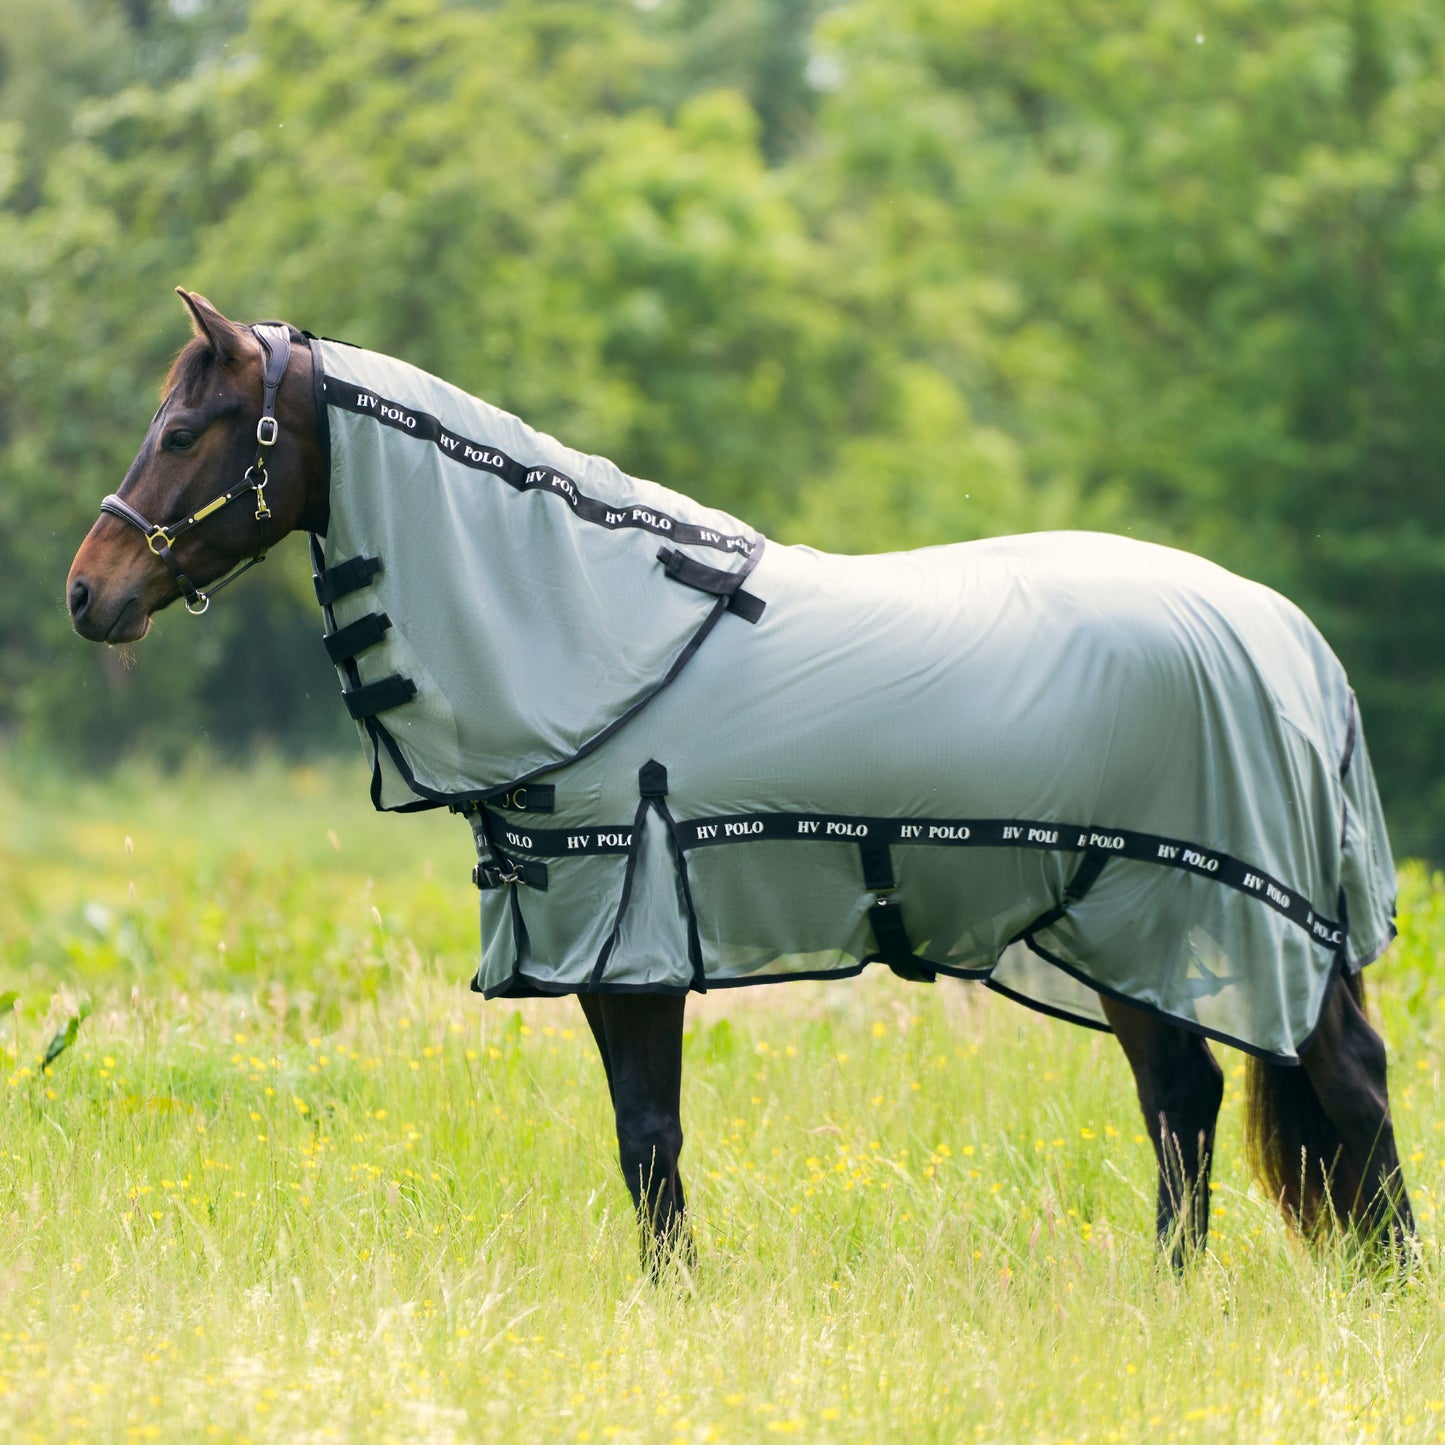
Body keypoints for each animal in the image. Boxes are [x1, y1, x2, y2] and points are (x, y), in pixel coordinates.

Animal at [67, 291, 1417, 1269]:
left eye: (182, 431)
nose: (88, 593)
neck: (597, 628)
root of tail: (1294, 644)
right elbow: (641, 1138)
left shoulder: (630, 942)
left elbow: (647, 1136)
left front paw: (671, 1298)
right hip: (1129, 925)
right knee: (1183, 1098)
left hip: (1184, 912)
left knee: (1326, 1083)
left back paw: (1384, 1284)